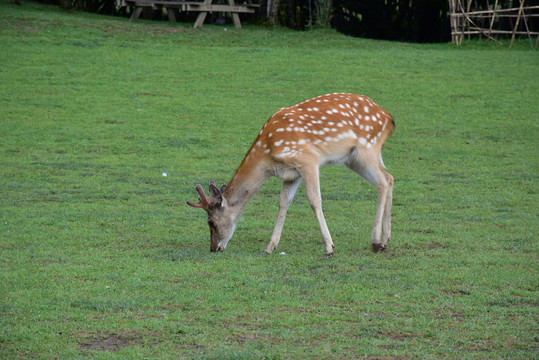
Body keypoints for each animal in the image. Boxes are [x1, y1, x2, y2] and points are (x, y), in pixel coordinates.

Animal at [188, 93, 394, 256]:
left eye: (211, 222)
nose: (214, 248)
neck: (268, 155)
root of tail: (389, 118)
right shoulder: (291, 173)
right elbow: (283, 203)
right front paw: (269, 247)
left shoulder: (308, 159)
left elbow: (314, 200)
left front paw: (329, 247)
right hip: (353, 158)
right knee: (389, 178)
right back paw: (385, 241)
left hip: (367, 148)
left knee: (383, 182)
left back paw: (375, 242)